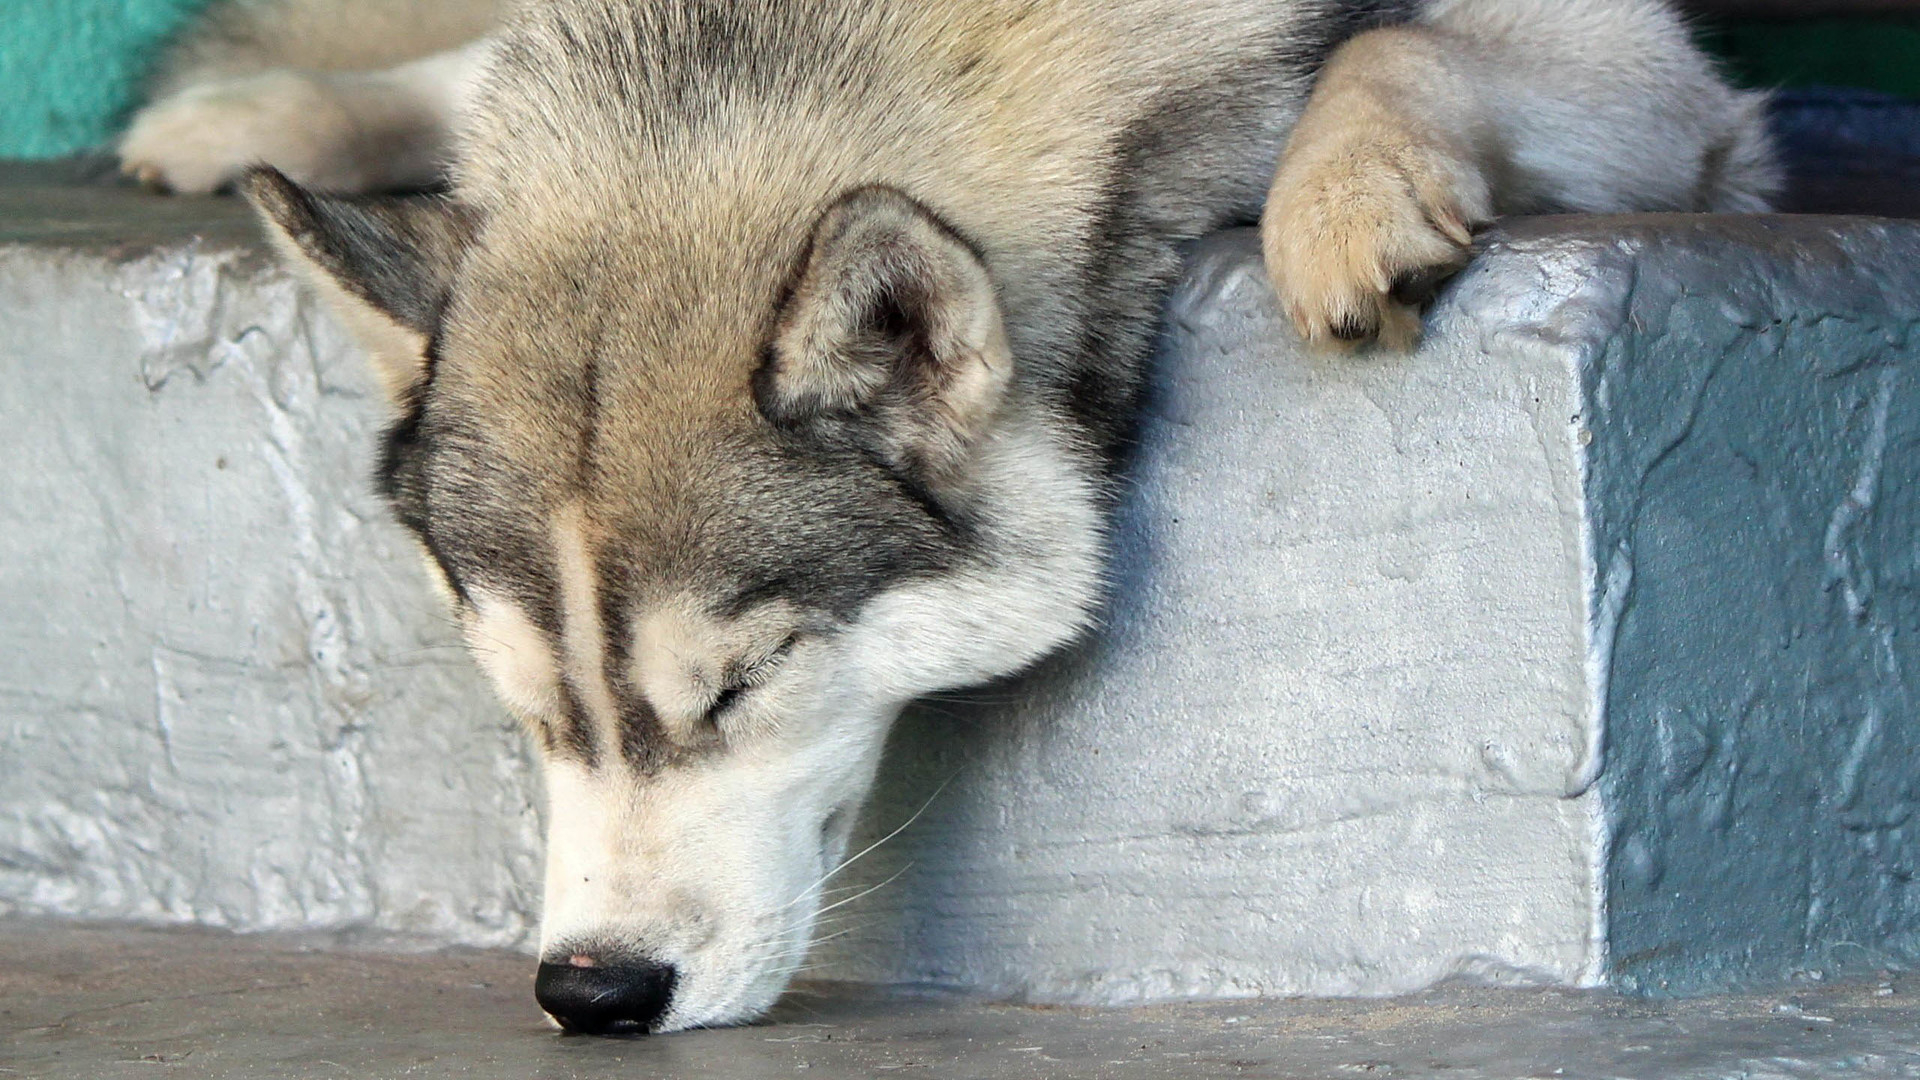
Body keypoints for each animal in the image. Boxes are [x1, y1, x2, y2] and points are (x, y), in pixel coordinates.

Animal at [119, 0, 1777, 1035]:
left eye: (746, 683)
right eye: (529, 707)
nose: (592, 995)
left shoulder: (1656, 73)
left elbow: (1389, 39)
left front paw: (1346, 193)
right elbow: (476, 63)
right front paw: (278, 110)